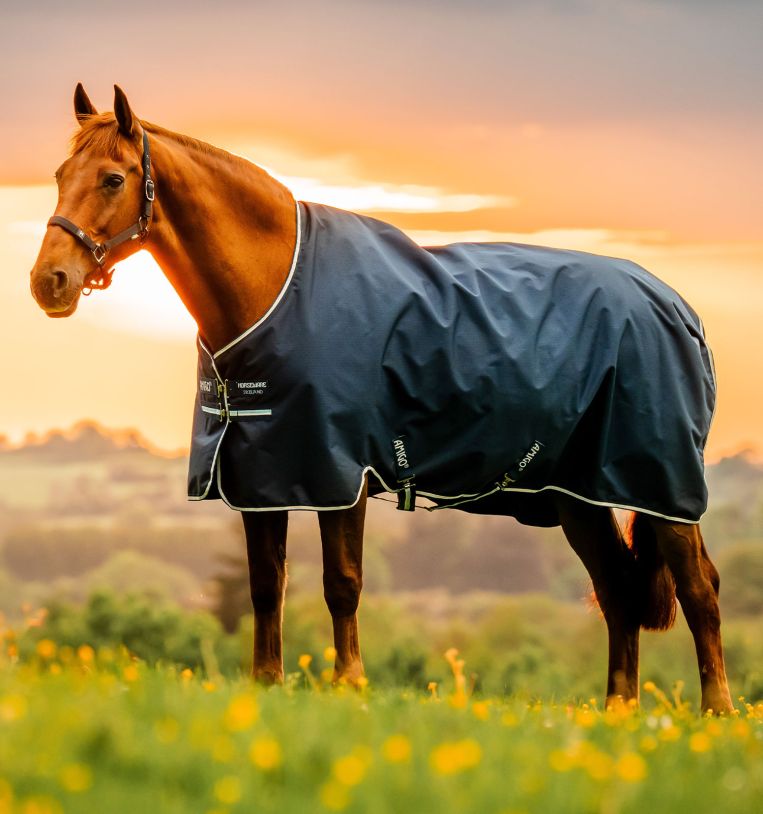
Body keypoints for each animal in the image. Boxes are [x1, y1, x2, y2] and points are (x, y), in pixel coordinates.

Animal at [29, 84, 733, 714]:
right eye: (60, 173)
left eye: (113, 179)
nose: (48, 282)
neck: (277, 288)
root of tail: (678, 308)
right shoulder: (262, 475)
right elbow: (265, 586)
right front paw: (267, 684)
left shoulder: (339, 472)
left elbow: (342, 584)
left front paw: (350, 685)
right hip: (576, 496)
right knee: (617, 591)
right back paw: (619, 712)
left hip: (662, 485)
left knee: (699, 589)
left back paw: (717, 713)